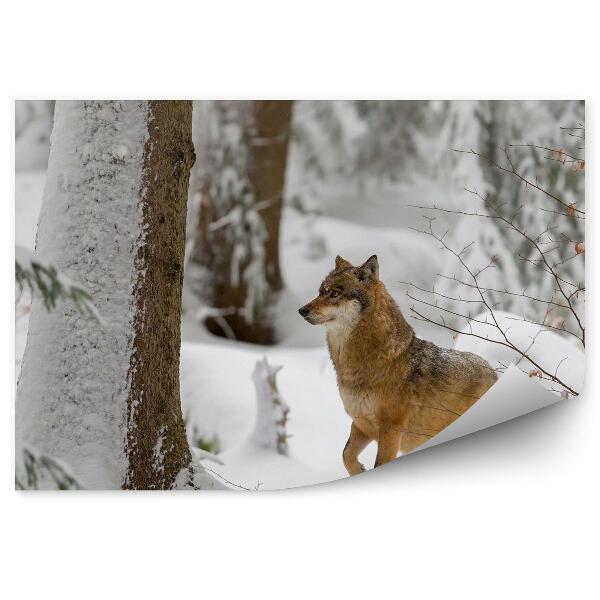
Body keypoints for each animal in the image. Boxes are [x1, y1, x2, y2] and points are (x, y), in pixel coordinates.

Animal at [298, 253, 500, 474]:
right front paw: (359, 471)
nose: (301, 310)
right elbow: (346, 455)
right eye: (320, 292)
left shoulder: (391, 428)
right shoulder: (361, 424)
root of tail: (494, 372)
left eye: (335, 293)